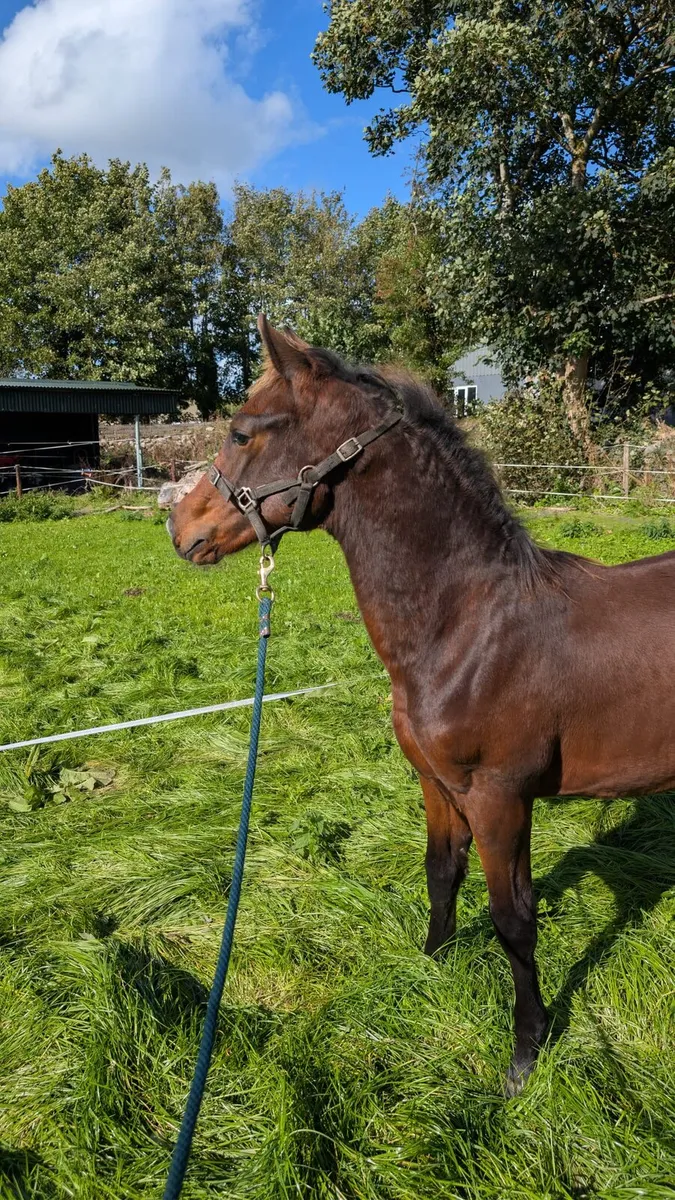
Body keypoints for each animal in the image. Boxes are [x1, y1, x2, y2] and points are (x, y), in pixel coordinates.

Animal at [168, 315, 675, 1095]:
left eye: (244, 432)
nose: (180, 528)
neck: (465, 626)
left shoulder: (500, 797)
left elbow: (513, 918)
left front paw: (525, 1054)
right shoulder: (437, 784)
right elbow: (441, 874)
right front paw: (429, 965)